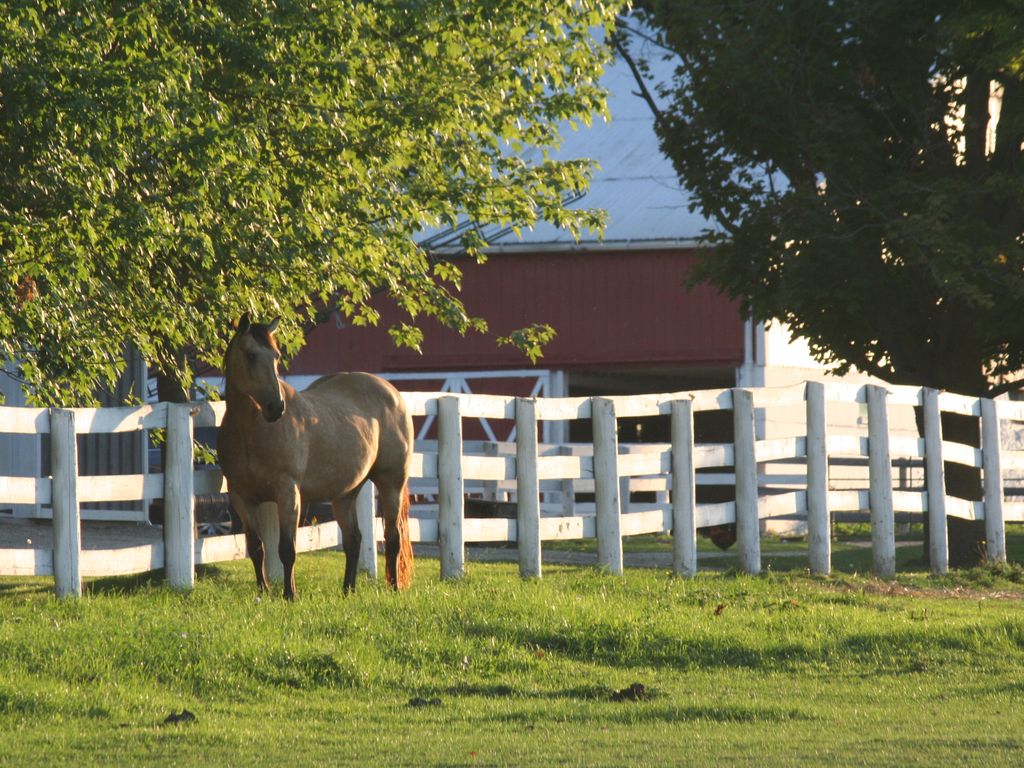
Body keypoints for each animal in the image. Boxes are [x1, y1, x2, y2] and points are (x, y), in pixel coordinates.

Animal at [218, 315, 413, 598]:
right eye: (251, 355)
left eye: (276, 356)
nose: (276, 407)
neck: (250, 431)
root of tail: (393, 392)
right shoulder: (241, 497)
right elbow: (257, 548)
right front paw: (262, 593)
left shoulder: (288, 493)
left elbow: (287, 549)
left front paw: (290, 595)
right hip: (345, 494)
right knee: (354, 540)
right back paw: (348, 590)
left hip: (392, 483)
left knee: (393, 537)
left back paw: (394, 588)